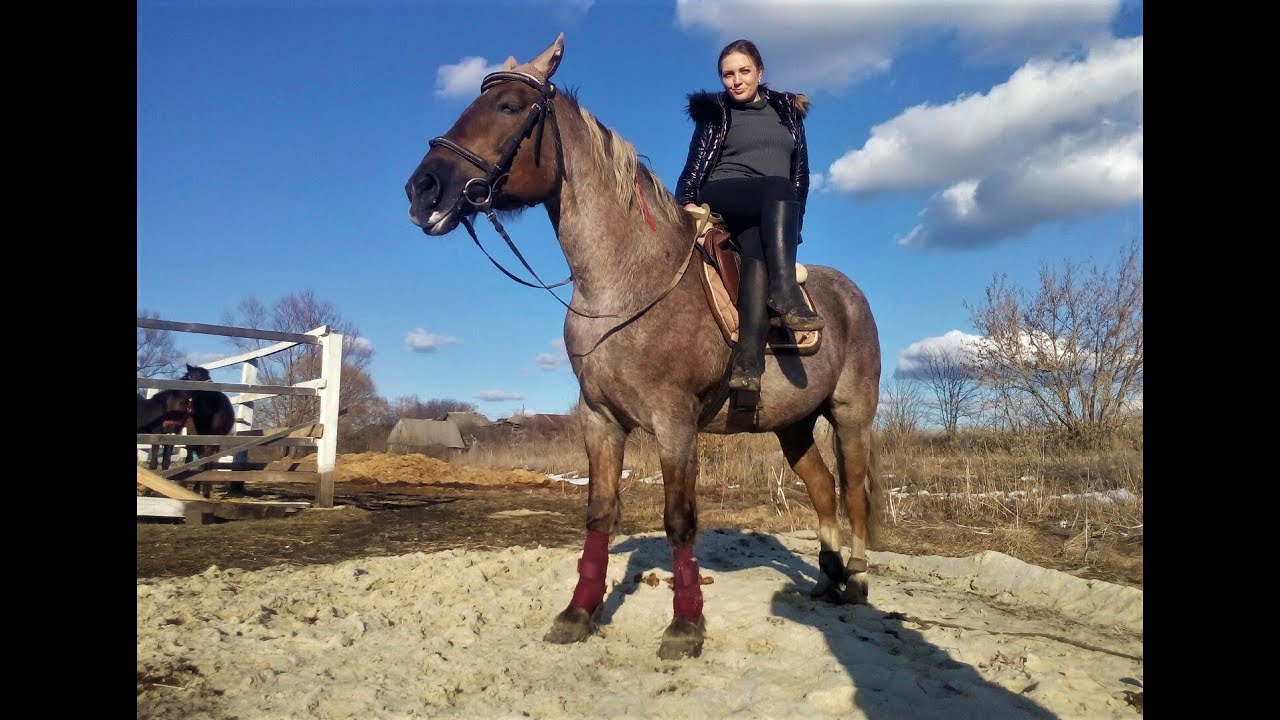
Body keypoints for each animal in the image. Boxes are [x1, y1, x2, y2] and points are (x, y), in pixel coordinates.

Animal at [405, 33, 882, 660]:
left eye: (508, 106)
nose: (423, 189)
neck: (625, 279)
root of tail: (850, 293)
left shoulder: (674, 422)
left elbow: (679, 519)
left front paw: (685, 625)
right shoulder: (601, 419)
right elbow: (599, 513)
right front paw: (578, 613)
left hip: (850, 415)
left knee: (853, 495)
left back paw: (856, 581)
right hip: (793, 425)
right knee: (824, 491)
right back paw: (827, 578)